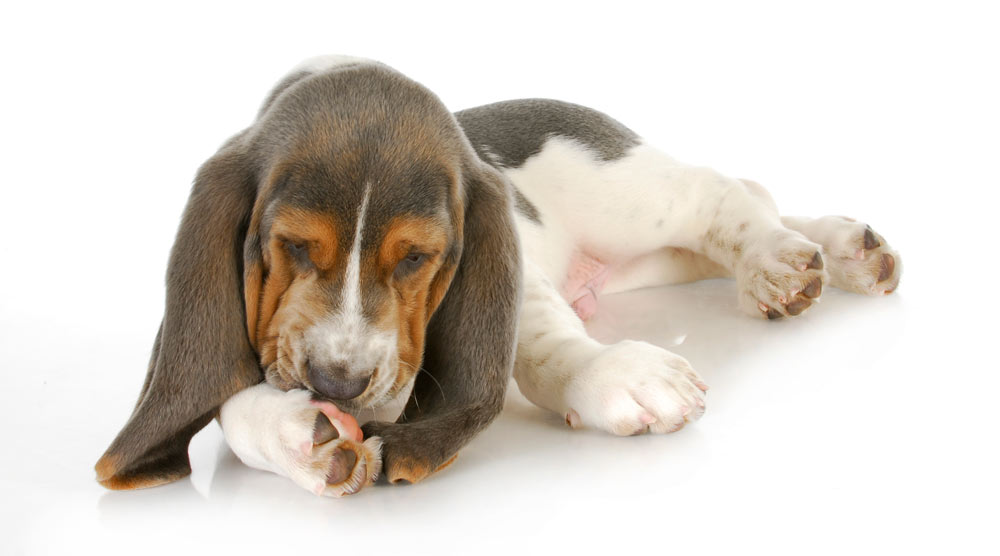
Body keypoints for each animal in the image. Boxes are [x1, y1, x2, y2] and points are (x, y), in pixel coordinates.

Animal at [97, 56, 904, 498]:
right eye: (292, 247)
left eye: (416, 258)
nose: (336, 384)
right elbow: (233, 408)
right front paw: (304, 436)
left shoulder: (516, 269)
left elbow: (542, 345)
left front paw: (612, 376)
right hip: (643, 261)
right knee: (735, 212)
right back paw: (836, 249)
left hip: (630, 199)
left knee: (727, 192)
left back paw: (790, 258)